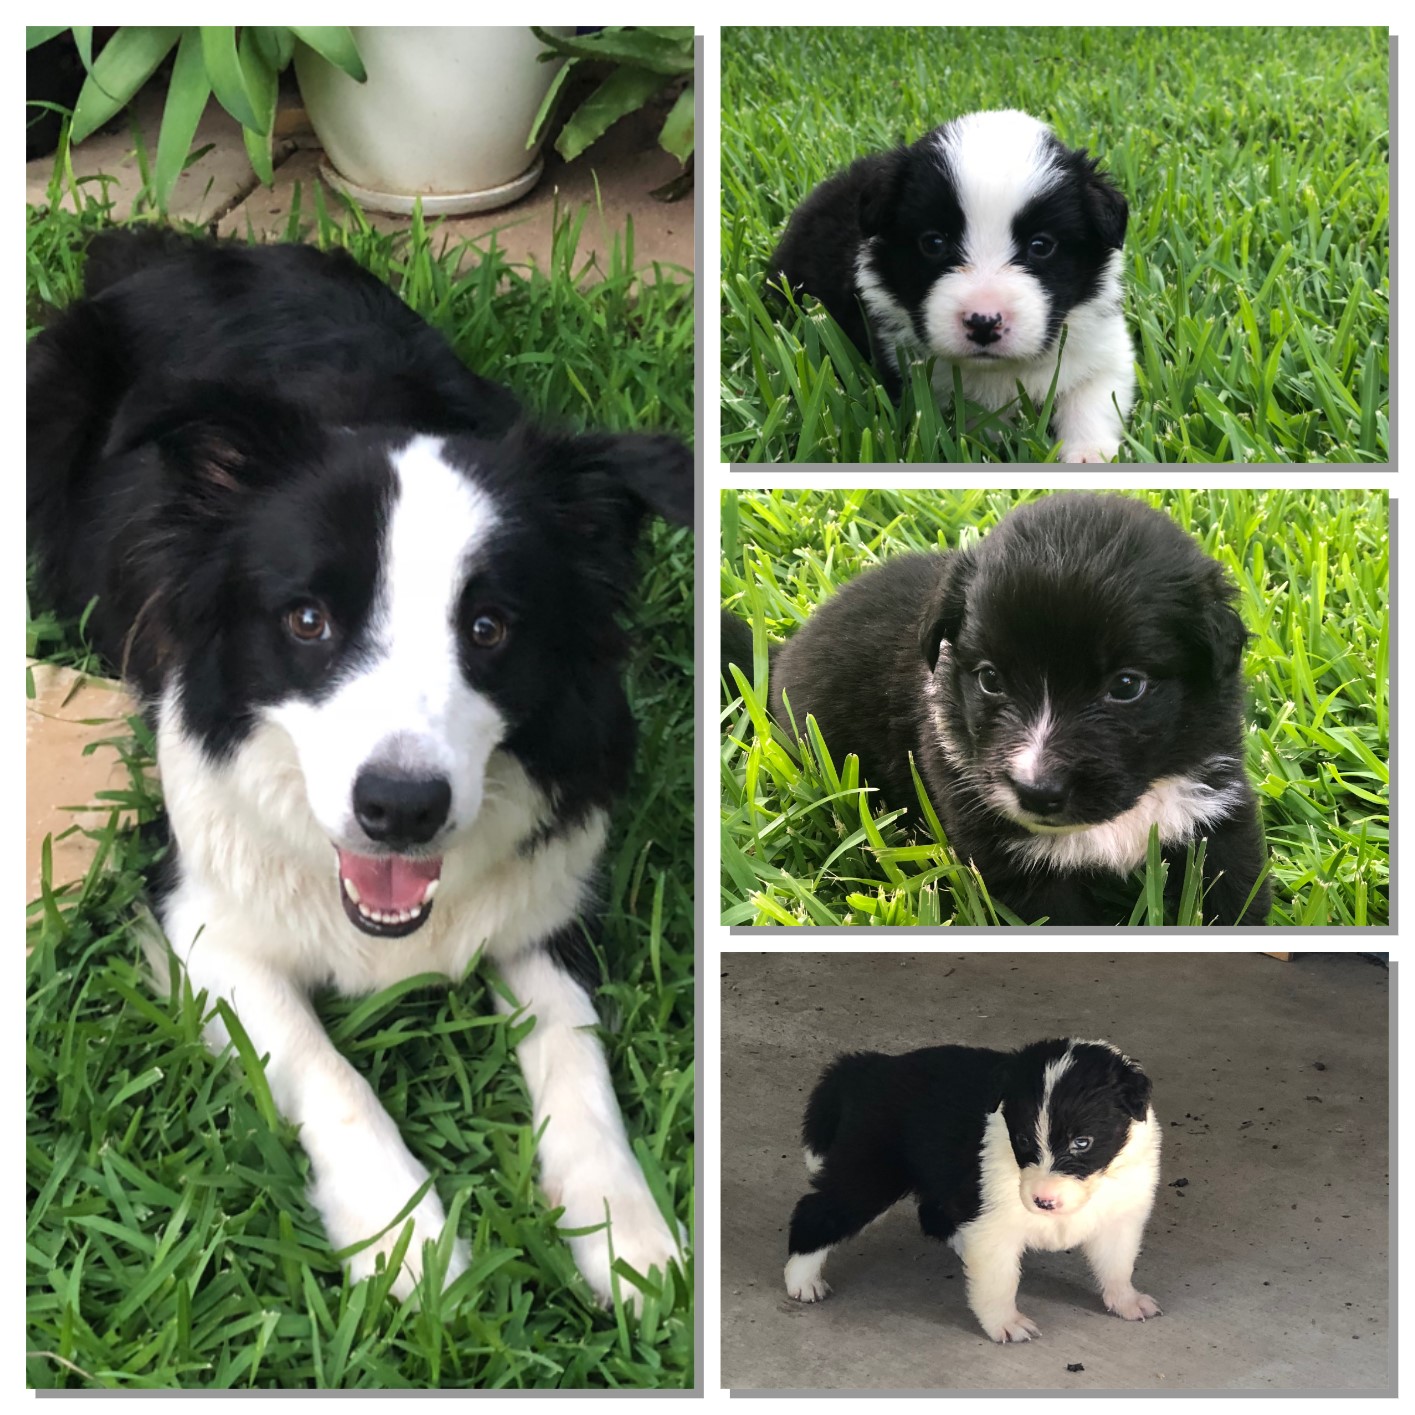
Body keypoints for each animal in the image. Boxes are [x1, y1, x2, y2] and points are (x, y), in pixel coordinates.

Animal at [30, 229, 693, 1301]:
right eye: (308, 619)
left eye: (489, 627)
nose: (401, 809)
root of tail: (168, 250)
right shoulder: (195, 912)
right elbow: (324, 1066)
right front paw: (406, 1240)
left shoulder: (549, 899)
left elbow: (576, 1052)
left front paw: (624, 1231)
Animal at [724, 492, 1267, 922]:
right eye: (990, 679)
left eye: (1127, 685)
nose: (1037, 793)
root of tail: (783, 653)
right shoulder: (1012, 857)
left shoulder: (1213, 807)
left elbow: (1234, 894)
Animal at [769, 112, 1132, 464]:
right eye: (933, 243)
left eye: (1041, 246)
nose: (983, 323)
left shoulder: (1104, 347)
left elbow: (1094, 398)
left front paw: (1089, 454)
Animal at [786, 1035, 1160, 1341]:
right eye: (1023, 1139)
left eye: (1082, 1142)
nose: (1043, 1202)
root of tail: (875, 1065)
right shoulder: (993, 1220)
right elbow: (999, 1282)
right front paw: (1005, 1324)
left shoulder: (1119, 1217)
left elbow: (1117, 1264)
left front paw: (1126, 1301)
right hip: (871, 1174)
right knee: (817, 1211)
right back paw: (802, 1280)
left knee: (933, 1214)